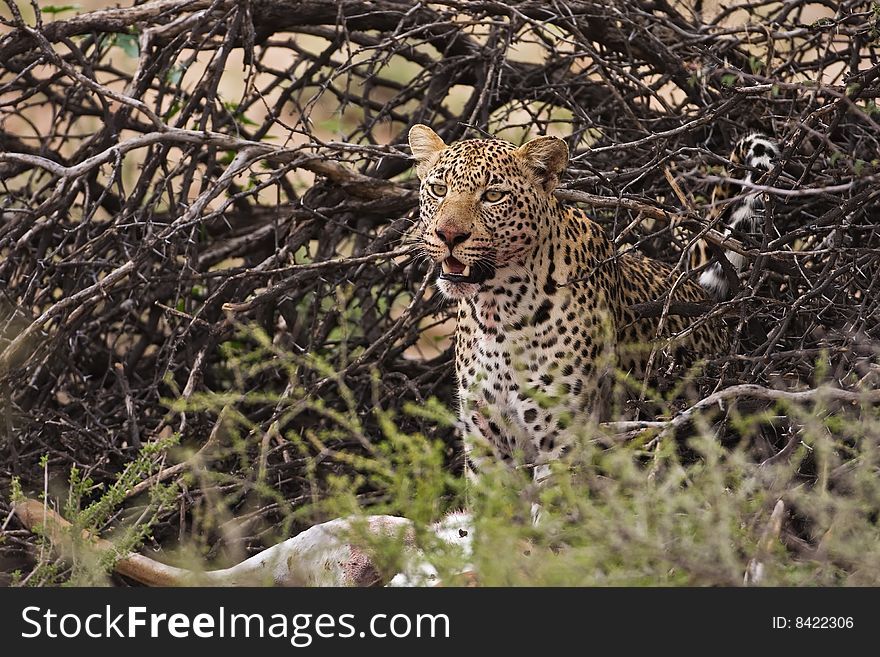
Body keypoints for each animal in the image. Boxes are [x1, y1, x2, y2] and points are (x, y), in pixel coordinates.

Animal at [410, 124, 724, 472]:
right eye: (439, 190)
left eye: (493, 196)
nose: (449, 234)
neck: (496, 311)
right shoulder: (485, 444)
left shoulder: (561, 442)